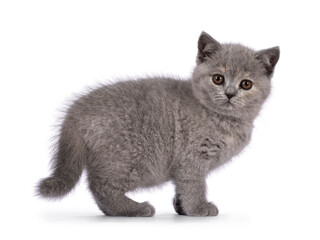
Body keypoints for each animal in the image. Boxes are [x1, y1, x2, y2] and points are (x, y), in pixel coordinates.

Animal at [37, 31, 278, 218]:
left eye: (246, 84)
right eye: (218, 78)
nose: (229, 93)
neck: (221, 118)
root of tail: (76, 112)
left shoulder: (184, 164)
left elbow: (182, 185)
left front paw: (182, 208)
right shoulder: (192, 157)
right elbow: (194, 184)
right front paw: (198, 208)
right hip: (131, 159)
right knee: (101, 186)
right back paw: (135, 209)